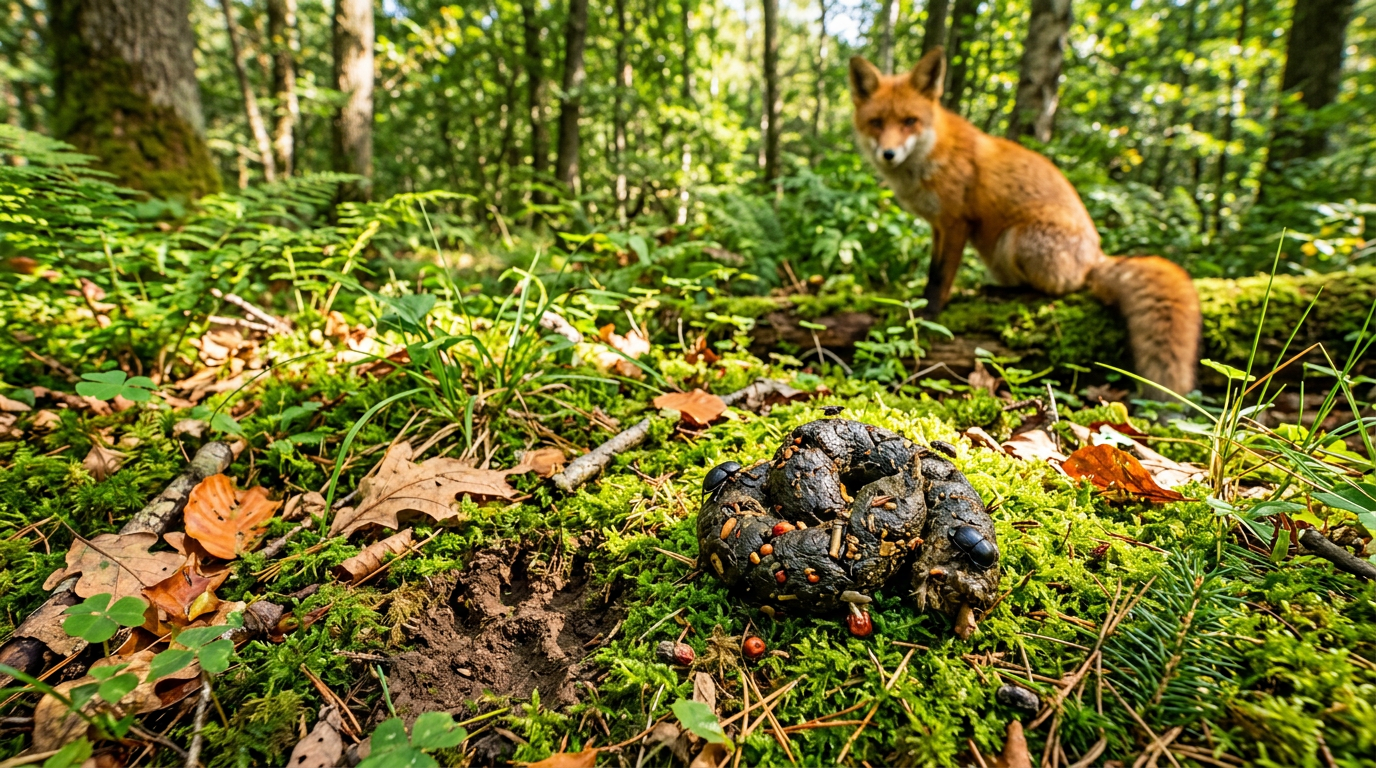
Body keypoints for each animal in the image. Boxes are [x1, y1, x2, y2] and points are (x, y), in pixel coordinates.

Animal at [848, 47, 1201, 398]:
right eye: (876, 123)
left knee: (1058, 288)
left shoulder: (956, 220)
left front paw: (929, 314)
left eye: (910, 122)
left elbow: (939, 277)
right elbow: (932, 271)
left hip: (1016, 239)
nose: (888, 154)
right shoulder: (938, 226)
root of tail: (1096, 256)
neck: (933, 152)